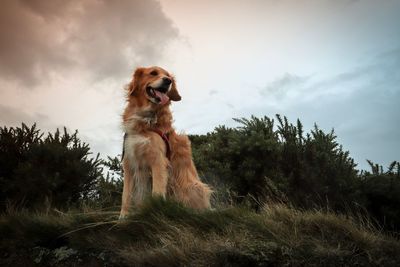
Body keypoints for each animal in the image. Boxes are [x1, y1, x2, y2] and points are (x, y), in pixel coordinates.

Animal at [119, 66, 211, 219]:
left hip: (193, 186)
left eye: (168, 76)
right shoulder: (129, 162)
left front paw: (154, 213)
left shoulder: (158, 160)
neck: (146, 122)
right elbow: (125, 196)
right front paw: (123, 218)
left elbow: (156, 192)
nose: (168, 81)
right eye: (153, 73)